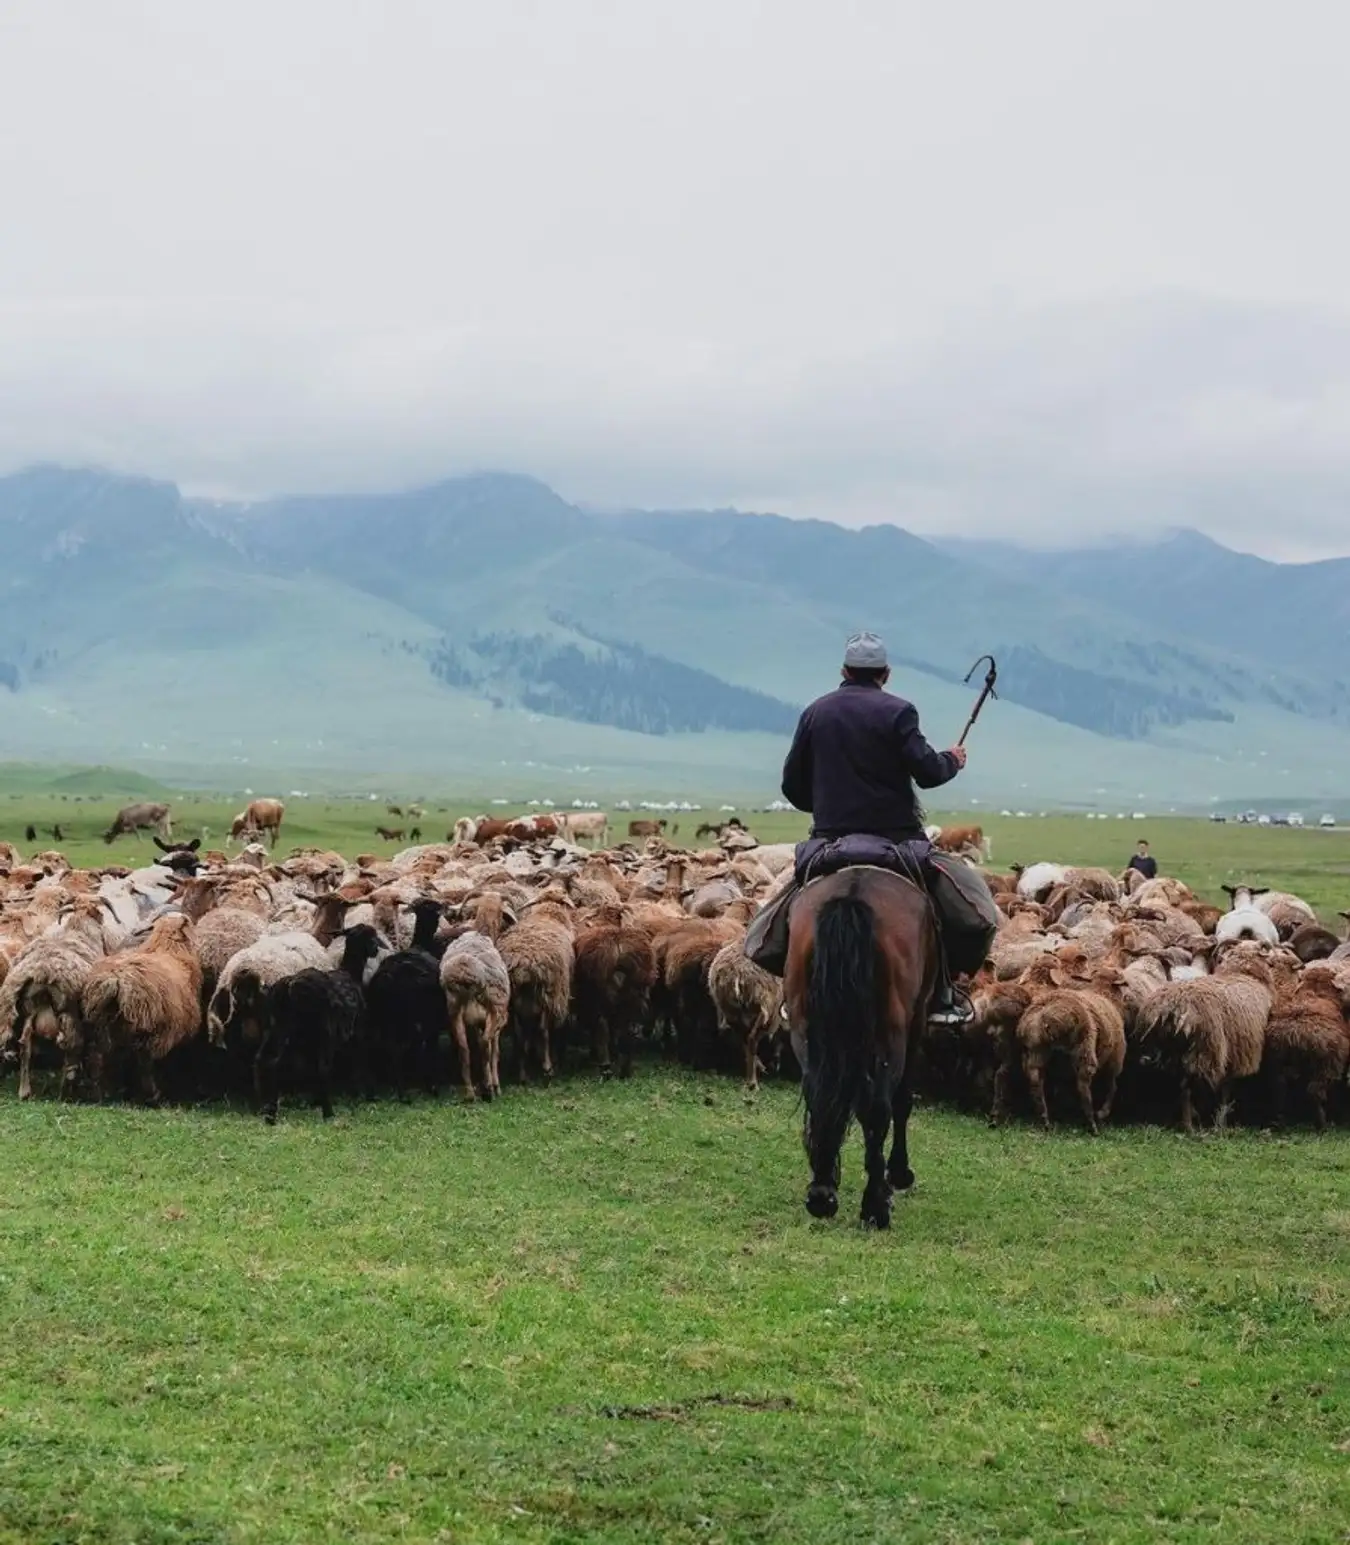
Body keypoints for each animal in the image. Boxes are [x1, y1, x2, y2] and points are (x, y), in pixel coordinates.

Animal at [82, 914, 203, 1104]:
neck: (167, 946)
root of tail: (116, 981)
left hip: (101, 1024)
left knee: (98, 1057)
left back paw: (99, 1094)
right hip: (149, 1028)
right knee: (144, 1063)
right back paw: (152, 1095)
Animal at [439, 933, 511, 1100]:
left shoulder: (477, 1023)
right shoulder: (496, 1023)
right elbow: (494, 1051)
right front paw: (496, 1085)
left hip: (455, 1011)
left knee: (464, 1049)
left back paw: (470, 1094)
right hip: (495, 1010)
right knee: (485, 1044)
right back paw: (489, 1088)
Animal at [783, 866, 939, 1229]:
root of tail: (853, 892)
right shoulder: (918, 1019)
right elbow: (902, 1101)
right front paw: (899, 1173)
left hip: (803, 1025)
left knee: (819, 1095)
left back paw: (822, 1193)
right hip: (892, 1031)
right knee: (878, 1108)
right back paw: (875, 1206)